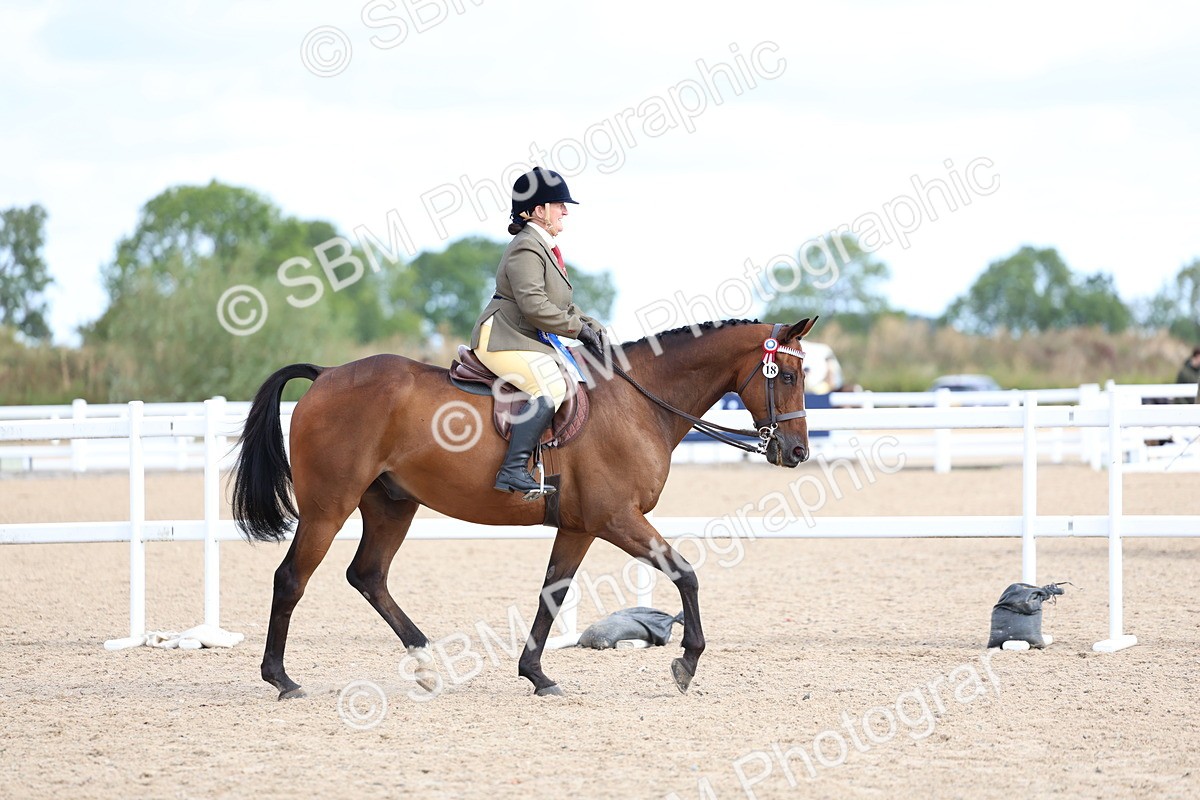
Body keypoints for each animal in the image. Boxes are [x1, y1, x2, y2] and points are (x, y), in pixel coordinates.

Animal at [232, 317, 817, 699]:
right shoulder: (616, 518)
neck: (637, 403)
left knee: (368, 575)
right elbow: (686, 573)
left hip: (391, 505)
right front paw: (687, 662)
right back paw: (281, 679)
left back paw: (425, 663)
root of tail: (327, 373)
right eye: (787, 377)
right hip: (328, 508)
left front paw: (536, 674)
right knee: (291, 579)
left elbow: (551, 593)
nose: (796, 452)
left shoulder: (580, 527)